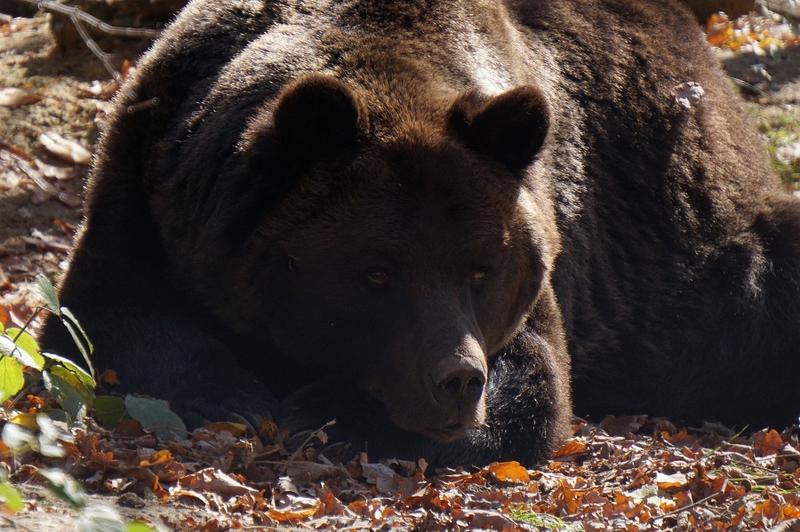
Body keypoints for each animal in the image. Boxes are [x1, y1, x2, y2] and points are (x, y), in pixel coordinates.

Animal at [40, 0, 800, 466]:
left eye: (481, 268)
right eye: (375, 270)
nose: (457, 380)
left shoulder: (550, 249)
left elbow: (536, 385)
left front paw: (329, 405)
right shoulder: (149, 175)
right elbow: (106, 319)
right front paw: (239, 397)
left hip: (712, 252)